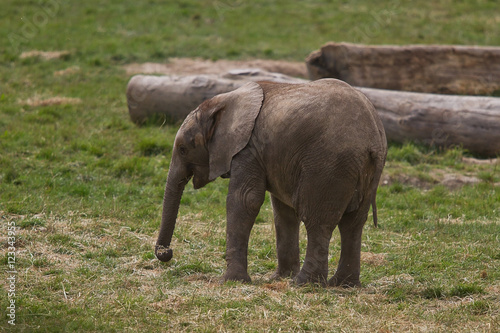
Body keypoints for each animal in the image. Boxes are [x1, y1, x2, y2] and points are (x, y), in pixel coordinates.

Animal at [155, 79, 386, 286]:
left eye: (183, 149)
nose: (166, 253)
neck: (224, 100)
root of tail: (372, 139)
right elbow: (282, 211)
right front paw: (278, 278)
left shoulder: (248, 149)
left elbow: (244, 201)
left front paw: (230, 281)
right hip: (364, 170)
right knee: (352, 223)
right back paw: (343, 284)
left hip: (328, 167)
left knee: (317, 220)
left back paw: (303, 284)